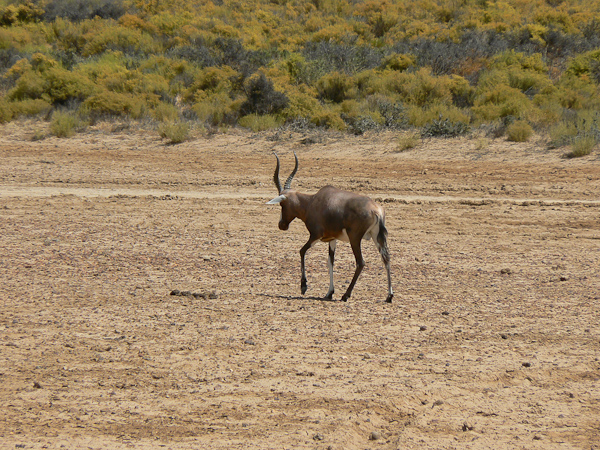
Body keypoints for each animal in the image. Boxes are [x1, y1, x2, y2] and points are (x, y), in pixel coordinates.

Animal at [268, 153, 394, 304]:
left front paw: (304, 286)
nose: (281, 225)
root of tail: (375, 210)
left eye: (282, 204)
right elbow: (330, 262)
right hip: (378, 237)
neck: (312, 202)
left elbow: (302, 251)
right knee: (386, 258)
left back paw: (346, 295)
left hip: (355, 239)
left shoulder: (315, 236)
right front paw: (329, 292)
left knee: (360, 262)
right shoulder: (332, 239)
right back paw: (389, 296)